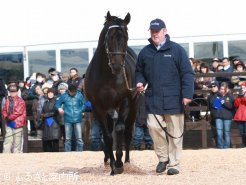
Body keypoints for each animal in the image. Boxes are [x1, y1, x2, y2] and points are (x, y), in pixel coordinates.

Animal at [84, 11, 138, 175]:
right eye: (109, 37)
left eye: (126, 37)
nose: (117, 66)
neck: (107, 75)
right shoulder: (97, 106)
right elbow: (107, 135)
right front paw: (113, 166)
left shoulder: (125, 102)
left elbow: (119, 129)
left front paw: (119, 163)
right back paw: (108, 159)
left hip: (134, 106)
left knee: (128, 133)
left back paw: (126, 161)